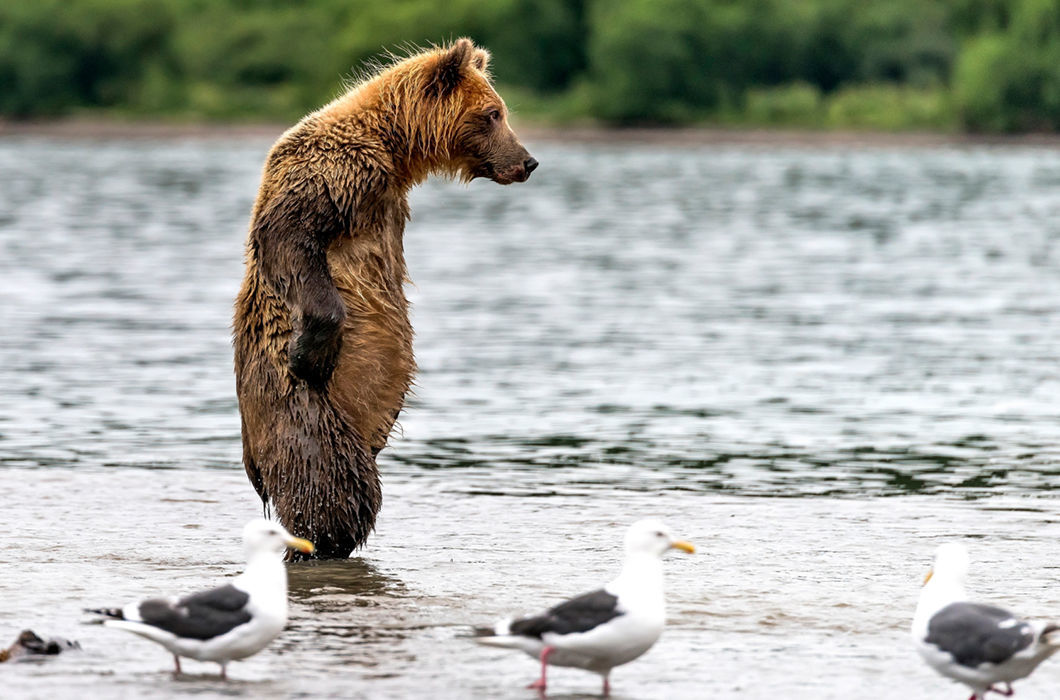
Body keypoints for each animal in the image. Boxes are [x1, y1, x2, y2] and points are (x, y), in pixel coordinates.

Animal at [228, 41, 534, 560]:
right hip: (301, 416)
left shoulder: (386, 200)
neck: (393, 150)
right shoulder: (335, 174)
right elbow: (289, 239)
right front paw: (309, 353)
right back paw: (316, 542)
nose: (528, 161)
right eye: (494, 114)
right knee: (332, 490)